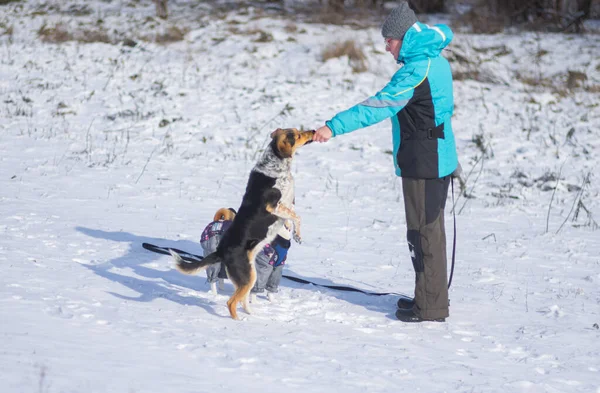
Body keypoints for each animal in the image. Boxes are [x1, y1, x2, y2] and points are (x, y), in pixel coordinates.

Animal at [170, 128, 314, 318]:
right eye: (297, 135)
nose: (313, 131)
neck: (276, 166)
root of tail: (221, 251)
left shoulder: (287, 206)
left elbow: (291, 218)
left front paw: (293, 230)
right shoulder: (275, 207)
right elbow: (297, 216)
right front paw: (296, 233)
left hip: (249, 276)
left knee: (242, 299)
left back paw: (251, 314)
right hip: (248, 276)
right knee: (231, 302)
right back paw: (239, 321)